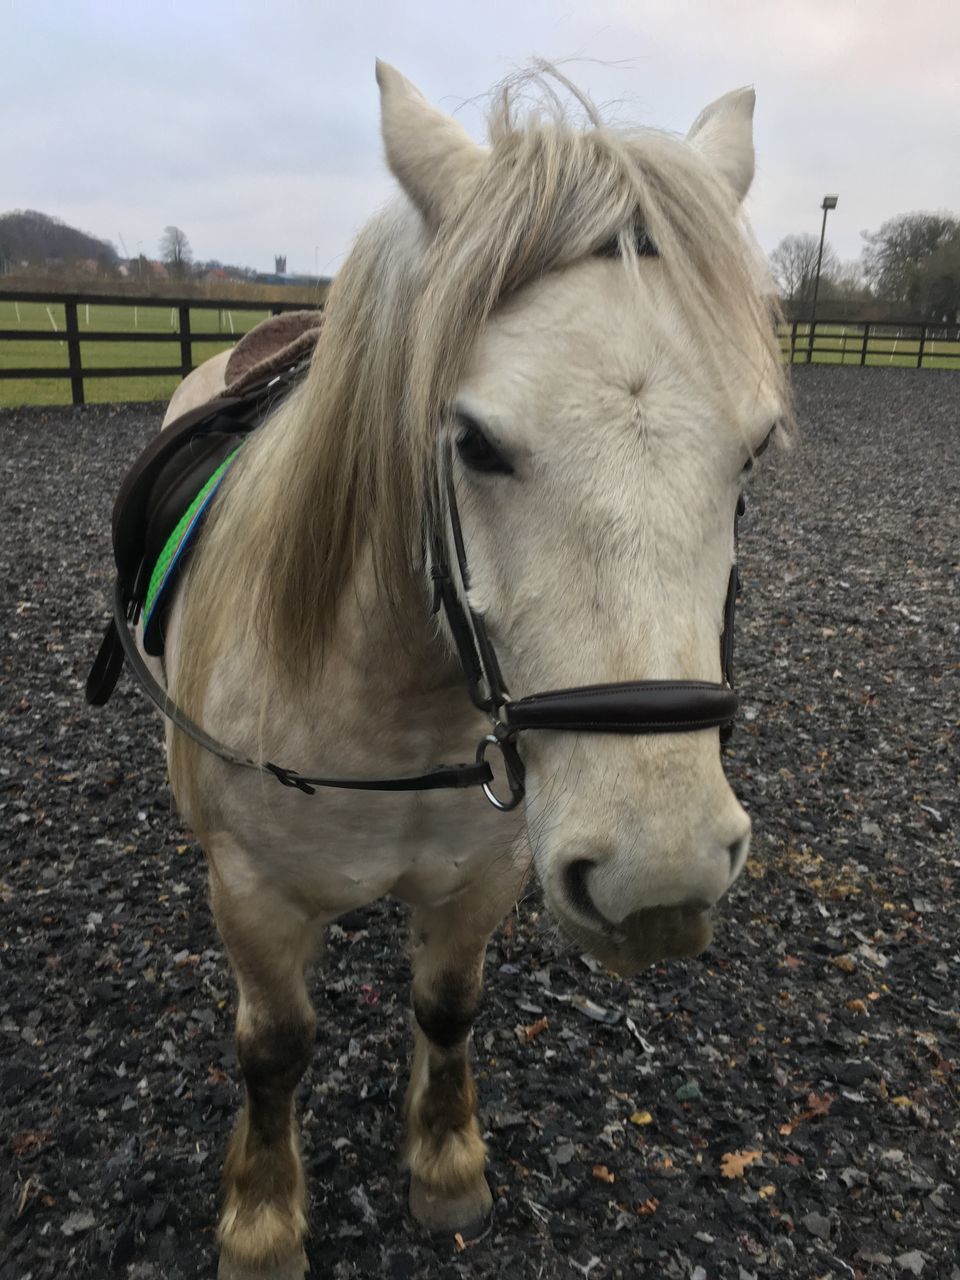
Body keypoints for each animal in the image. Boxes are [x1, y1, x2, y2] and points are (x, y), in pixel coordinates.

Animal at [103, 57, 788, 1280]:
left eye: (753, 446)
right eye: (472, 440)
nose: (660, 880)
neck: (399, 713)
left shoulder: (482, 880)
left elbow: (449, 1006)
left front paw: (446, 1164)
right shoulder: (254, 895)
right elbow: (274, 1045)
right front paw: (263, 1219)